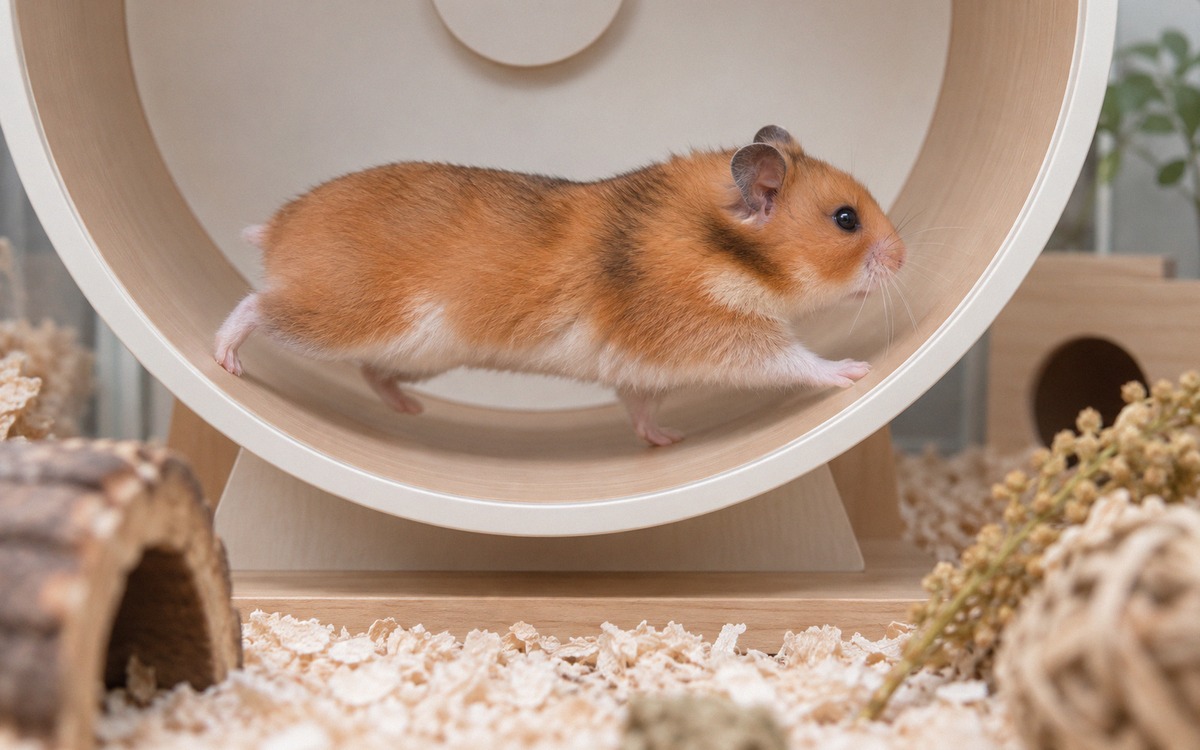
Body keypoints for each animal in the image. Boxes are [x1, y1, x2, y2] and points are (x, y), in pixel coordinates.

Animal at [215, 125, 906, 446]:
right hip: (342, 316)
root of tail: (277, 228)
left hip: (413, 354)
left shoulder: (639, 366)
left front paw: (666, 441)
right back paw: (226, 361)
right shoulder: (710, 333)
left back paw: (409, 411)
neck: (721, 247)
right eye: (846, 219)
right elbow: (791, 358)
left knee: (371, 373)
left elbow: (640, 405)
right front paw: (854, 372)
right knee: (255, 305)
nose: (903, 258)